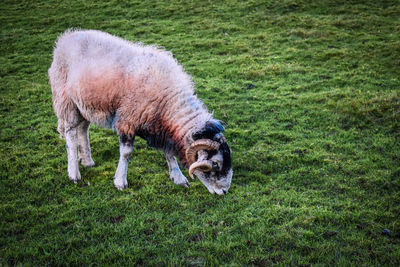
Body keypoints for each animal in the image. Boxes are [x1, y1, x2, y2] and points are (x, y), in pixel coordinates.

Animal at [48, 29, 233, 195]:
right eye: (215, 164)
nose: (224, 191)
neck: (167, 100)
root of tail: (65, 38)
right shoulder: (127, 120)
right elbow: (126, 153)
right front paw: (120, 182)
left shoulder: (161, 127)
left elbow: (169, 153)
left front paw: (178, 178)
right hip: (66, 101)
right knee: (71, 136)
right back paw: (74, 173)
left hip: (84, 104)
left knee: (83, 130)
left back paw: (87, 161)